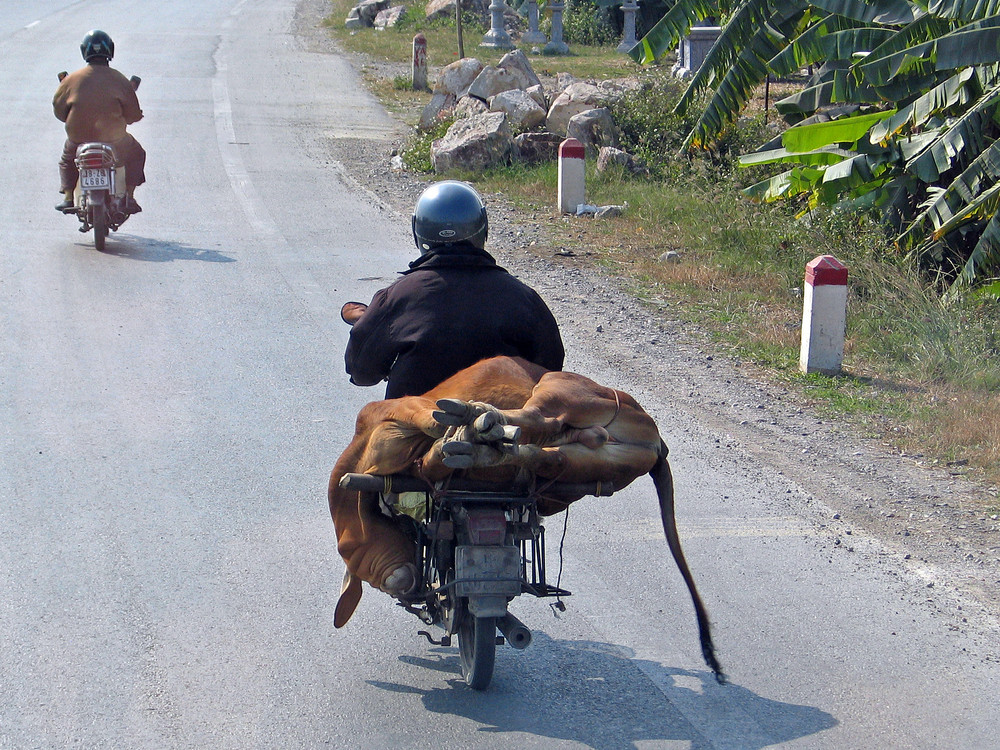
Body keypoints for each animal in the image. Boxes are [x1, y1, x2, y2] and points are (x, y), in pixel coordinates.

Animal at [328, 356, 728, 680]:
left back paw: (476, 419)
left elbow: (427, 422)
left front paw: (453, 431)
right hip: (593, 459)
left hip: (561, 387)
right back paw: (483, 440)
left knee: (538, 419)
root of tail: (658, 441)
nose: (403, 584)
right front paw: (454, 446)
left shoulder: (399, 410)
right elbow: (434, 460)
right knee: (546, 452)